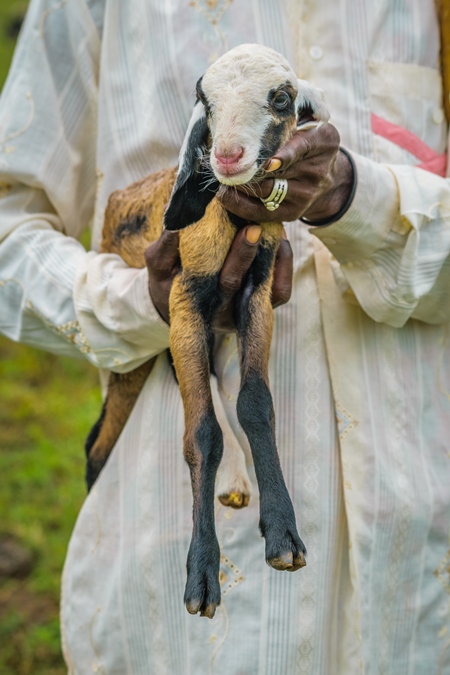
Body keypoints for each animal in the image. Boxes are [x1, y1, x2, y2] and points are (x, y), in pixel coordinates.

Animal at [85, 45, 330, 620]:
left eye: (280, 98)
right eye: (206, 101)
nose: (227, 157)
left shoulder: (256, 292)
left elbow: (255, 405)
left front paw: (283, 535)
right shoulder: (183, 297)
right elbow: (200, 434)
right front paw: (200, 576)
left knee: (215, 385)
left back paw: (238, 483)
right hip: (142, 353)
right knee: (99, 446)